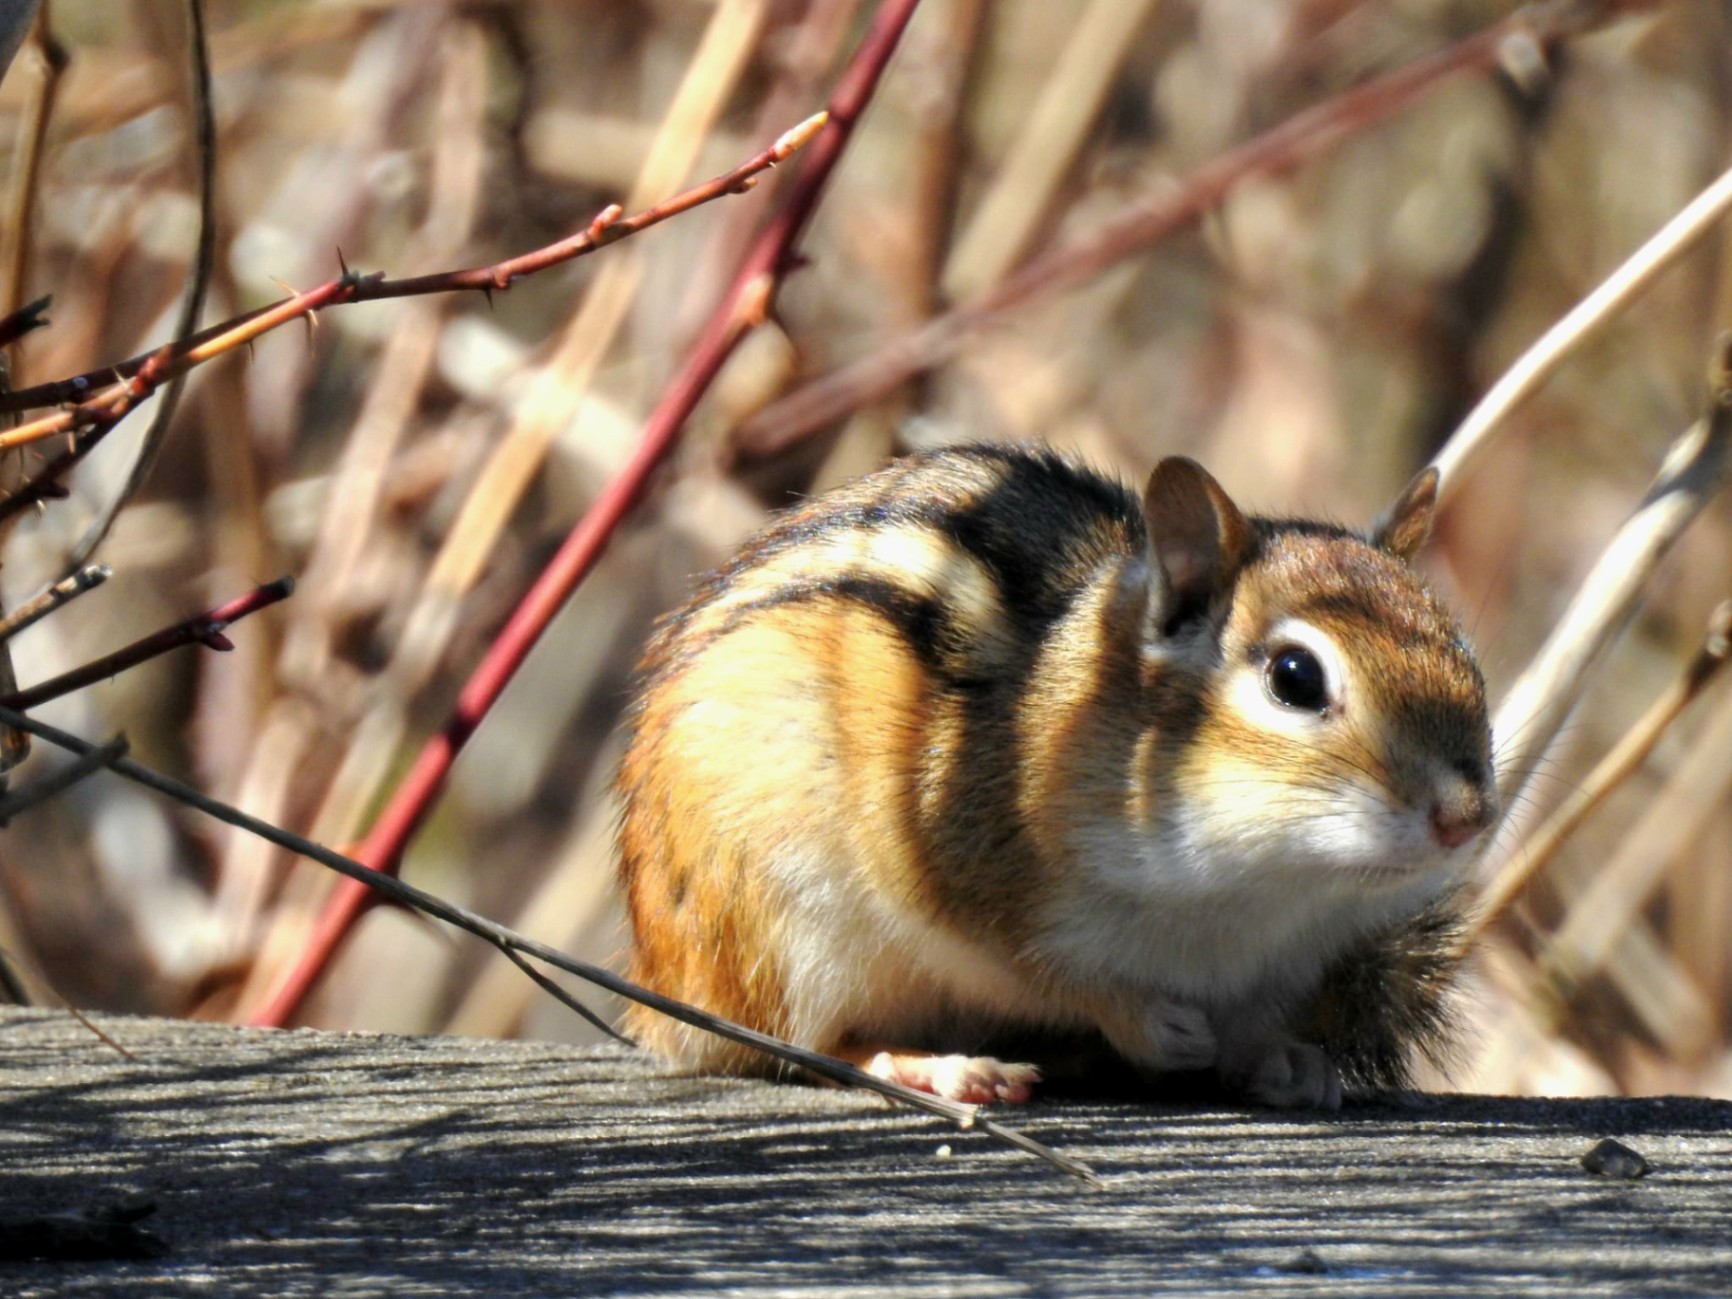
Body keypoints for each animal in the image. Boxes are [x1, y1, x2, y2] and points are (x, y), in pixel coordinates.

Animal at [616, 443, 1495, 1109]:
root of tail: (662, 981)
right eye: (1295, 678)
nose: (1466, 817)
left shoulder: (1288, 963)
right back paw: (939, 1064)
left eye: (1467, 654)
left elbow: (1256, 1024)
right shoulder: (960, 873)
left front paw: (1283, 1058)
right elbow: (1044, 969)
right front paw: (1150, 1023)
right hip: (789, 930)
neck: (1269, 895)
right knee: (816, 1044)